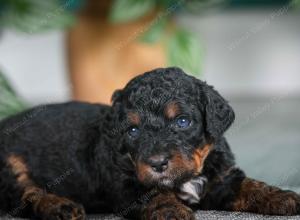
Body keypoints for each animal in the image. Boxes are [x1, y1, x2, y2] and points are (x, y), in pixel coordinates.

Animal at [0, 67, 298, 220]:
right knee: (26, 196)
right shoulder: (126, 185)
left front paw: (281, 197)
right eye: (132, 130)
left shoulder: (222, 178)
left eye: (182, 121)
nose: (157, 163)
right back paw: (59, 207)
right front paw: (170, 210)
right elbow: (154, 193)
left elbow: (250, 185)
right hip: (11, 166)